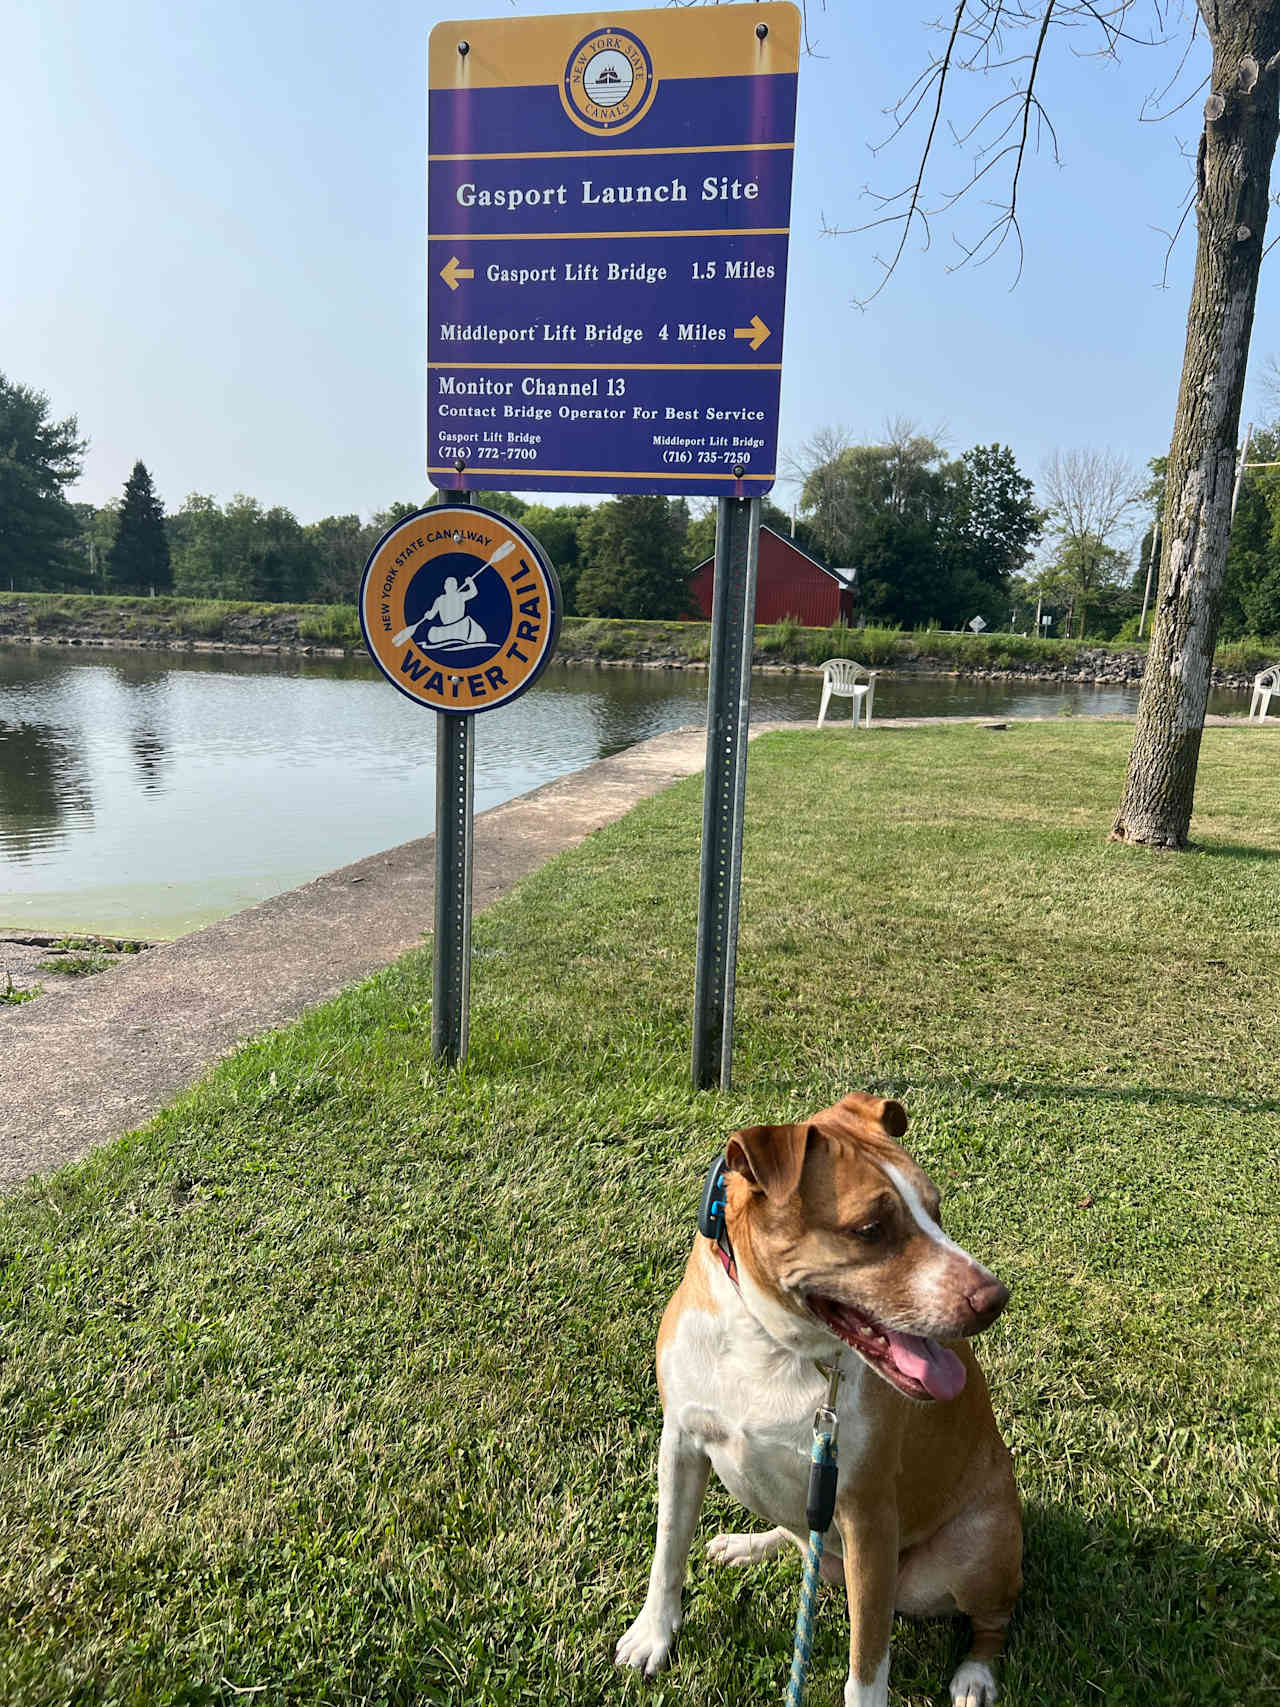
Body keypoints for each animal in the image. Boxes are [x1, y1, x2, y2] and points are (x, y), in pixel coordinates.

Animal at [617, 1092, 1030, 1707]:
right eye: (870, 1228)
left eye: (935, 1209)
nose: (995, 1298)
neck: (770, 1340)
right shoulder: (682, 1445)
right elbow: (667, 1550)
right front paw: (652, 1636)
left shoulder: (868, 1516)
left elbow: (867, 1665)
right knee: (796, 1535)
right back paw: (748, 1543)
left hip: (974, 1552)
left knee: (994, 1620)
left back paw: (975, 1676)